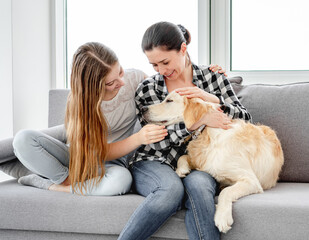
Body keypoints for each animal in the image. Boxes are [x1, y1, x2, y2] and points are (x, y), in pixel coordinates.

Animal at [142, 91, 284, 233]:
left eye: (169, 100)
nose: (143, 109)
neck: (206, 132)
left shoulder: (251, 181)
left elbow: (226, 192)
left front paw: (222, 217)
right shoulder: (202, 161)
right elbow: (183, 157)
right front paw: (181, 170)